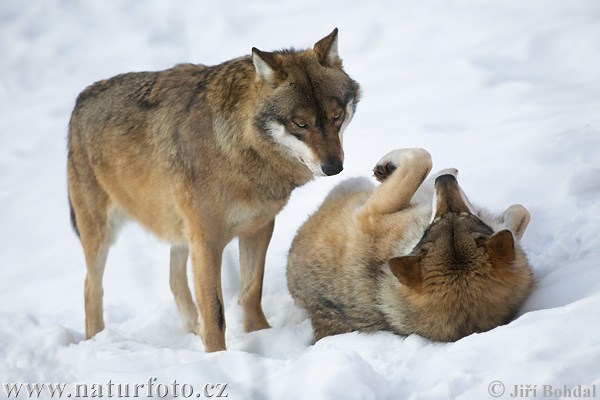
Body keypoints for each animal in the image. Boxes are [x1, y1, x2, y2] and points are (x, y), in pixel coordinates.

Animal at [69, 29, 360, 352]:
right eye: (301, 124)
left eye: (336, 116)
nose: (333, 167)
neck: (238, 150)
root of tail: (80, 99)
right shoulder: (207, 241)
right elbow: (216, 311)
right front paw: (217, 355)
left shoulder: (258, 228)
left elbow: (251, 291)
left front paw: (259, 335)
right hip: (102, 234)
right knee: (90, 288)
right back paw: (96, 341)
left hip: (180, 232)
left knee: (173, 279)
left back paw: (190, 329)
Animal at [286, 148, 536, 342]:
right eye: (438, 221)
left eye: (463, 217)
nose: (444, 182)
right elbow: (520, 212)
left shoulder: (370, 214)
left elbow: (421, 158)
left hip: (352, 185)